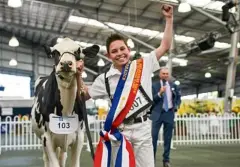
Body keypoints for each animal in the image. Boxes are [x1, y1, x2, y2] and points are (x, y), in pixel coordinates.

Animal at [30, 37, 98, 167]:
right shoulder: (47, 138)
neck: (65, 110)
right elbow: (54, 164)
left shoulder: (79, 137)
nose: (66, 63)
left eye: (78, 51)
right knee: (46, 159)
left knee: (62, 157)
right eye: (55, 52)